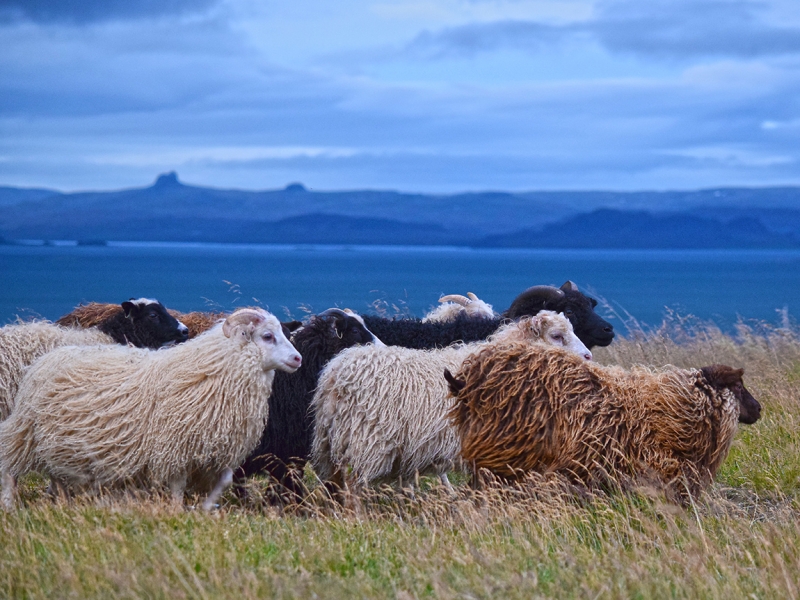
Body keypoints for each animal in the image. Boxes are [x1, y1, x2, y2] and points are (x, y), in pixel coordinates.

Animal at [1, 310, 302, 510]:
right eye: (267, 336)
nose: (297, 358)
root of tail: (44, 361)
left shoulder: (216, 454)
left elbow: (224, 482)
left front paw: (206, 509)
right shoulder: (175, 448)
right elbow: (178, 487)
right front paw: (177, 512)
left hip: (60, 443)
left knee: (58, 474)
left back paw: (63, 503)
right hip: (26, 431)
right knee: (10, 469)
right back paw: (10, 506)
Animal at [310, 312, 592, 494]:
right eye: (556, 336)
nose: (588, 356)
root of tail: (335, 375)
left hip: (329, 443)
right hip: (366, 441)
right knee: (353, 486)